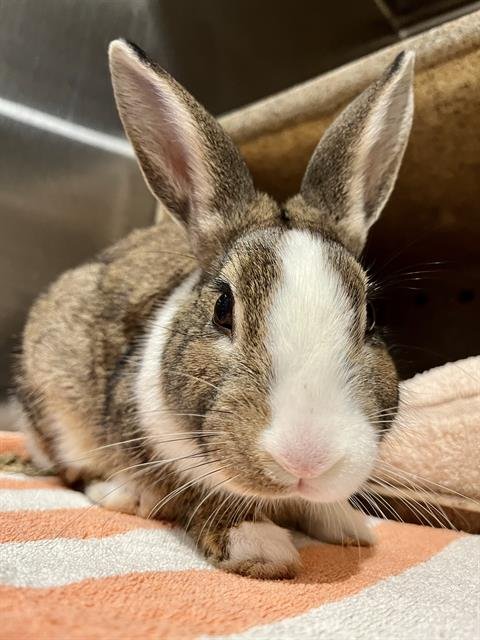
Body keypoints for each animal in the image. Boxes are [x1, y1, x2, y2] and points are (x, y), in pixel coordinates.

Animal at [16, 40, 414, 579]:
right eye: (223, 308)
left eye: (371, 316)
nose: (307, 459)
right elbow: (200, 495)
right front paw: (257, 545)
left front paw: (348, 524)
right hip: (54, 397)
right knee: (70, 468)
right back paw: (124, 494)